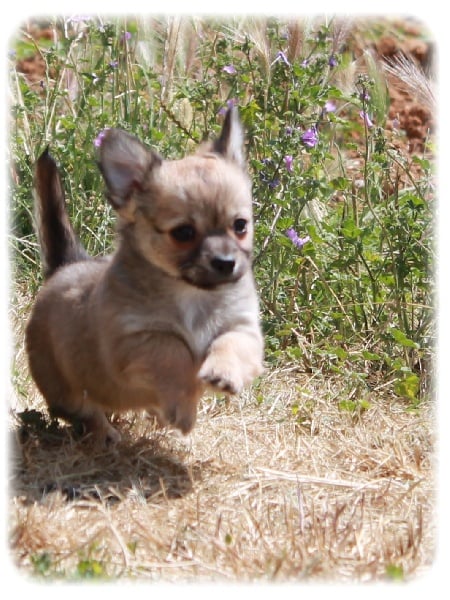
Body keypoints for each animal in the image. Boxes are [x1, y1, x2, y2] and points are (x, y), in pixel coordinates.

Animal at [25, 108, 264, 442]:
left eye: (240, 226)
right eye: (184, 233)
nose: (226, 263)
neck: (192, 294)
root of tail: (65, 266)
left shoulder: (243, 328)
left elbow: (229, 343)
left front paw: (222, 373)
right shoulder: (136, 339)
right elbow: (175, 352)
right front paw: (184, 409)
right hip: (65, 390)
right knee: (83, 413)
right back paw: (107, 434)